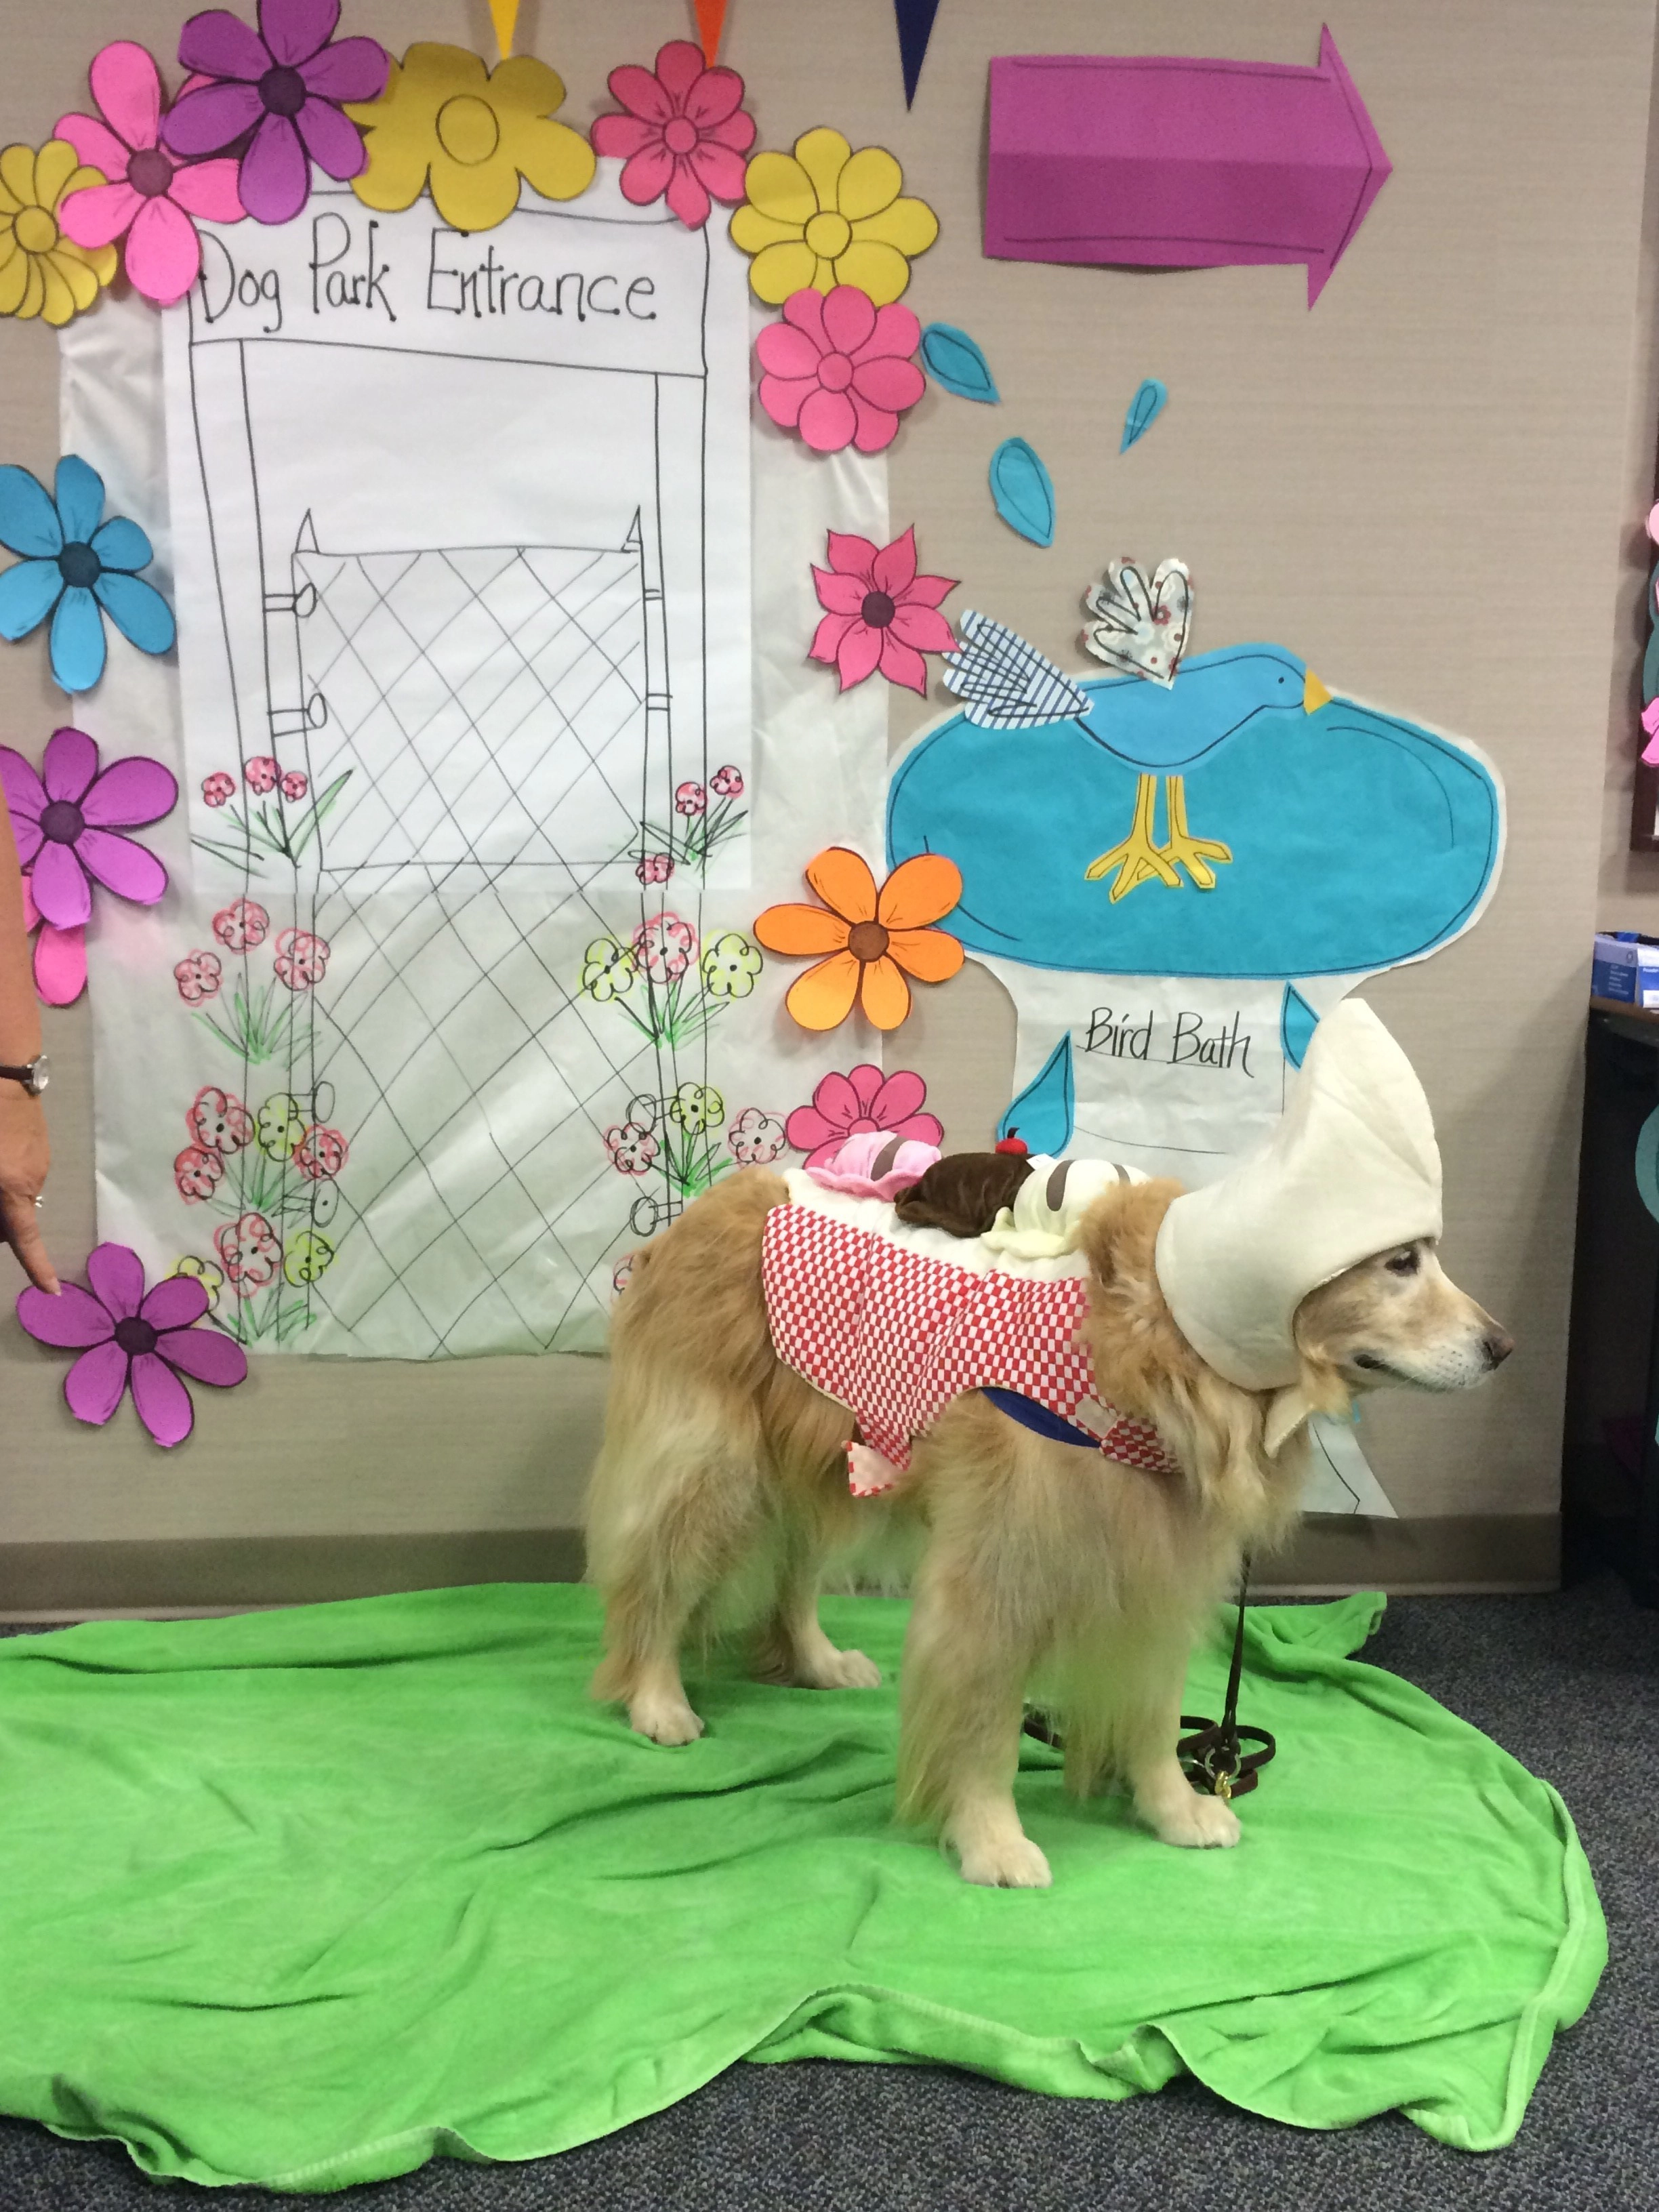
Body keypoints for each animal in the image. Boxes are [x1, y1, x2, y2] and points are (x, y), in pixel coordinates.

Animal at [592, 1176, 1513, 1884]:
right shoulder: (998, 1576)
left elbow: (1153, 1711)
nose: (1504, 1346)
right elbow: (986, 1729)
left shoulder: (1159, 1574)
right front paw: (991, 1840)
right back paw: (657, 1699)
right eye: (1401, 1263)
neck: (1159, 1360)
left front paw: (1176, 1808)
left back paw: (815, 1661)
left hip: (826, 1460)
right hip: (713, 1471)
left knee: (792, 1573)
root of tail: (712, 1202)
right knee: (654, 1585)